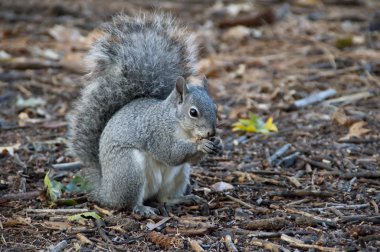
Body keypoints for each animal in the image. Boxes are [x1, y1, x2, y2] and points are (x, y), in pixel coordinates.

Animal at [70, 12, 221, 216]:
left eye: (215, 108)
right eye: (193, 112)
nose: (211, 133)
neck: (180, 126)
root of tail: (105, 190)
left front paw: (217, 143)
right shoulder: (157, 132)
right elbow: (170, 153)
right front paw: (201, 145)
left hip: (179, 175)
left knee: (164, 198)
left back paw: (183, 198)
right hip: (129, 170)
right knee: (128, 203)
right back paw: (141, 208)